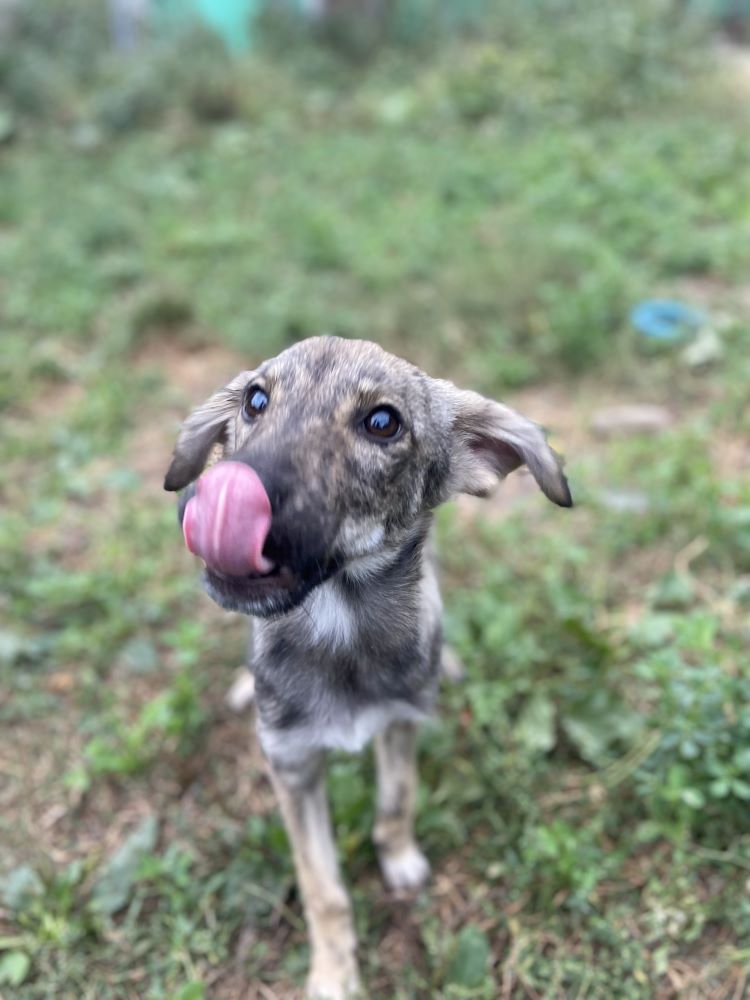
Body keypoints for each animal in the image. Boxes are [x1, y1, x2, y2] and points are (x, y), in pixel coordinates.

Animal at [164, 338, 572, 1000]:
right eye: (256, 399)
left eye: (382, 422)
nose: (214, 493)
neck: (341, 626)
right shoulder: (292, 766)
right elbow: (323, 888)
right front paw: (333, 974)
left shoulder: (400, 721)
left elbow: (396, 800)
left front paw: (400, 861)